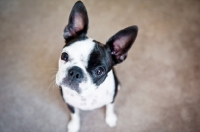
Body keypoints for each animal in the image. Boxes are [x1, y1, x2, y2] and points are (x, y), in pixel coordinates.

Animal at [55, 1, 138, 132]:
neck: (87, 96)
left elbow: (110, 107)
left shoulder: (111, 99)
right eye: (64, 56)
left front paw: (110, 119)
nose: (75, 72)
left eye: (99, 71)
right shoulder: (69, 103)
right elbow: (74, 114)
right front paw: (74, 126)